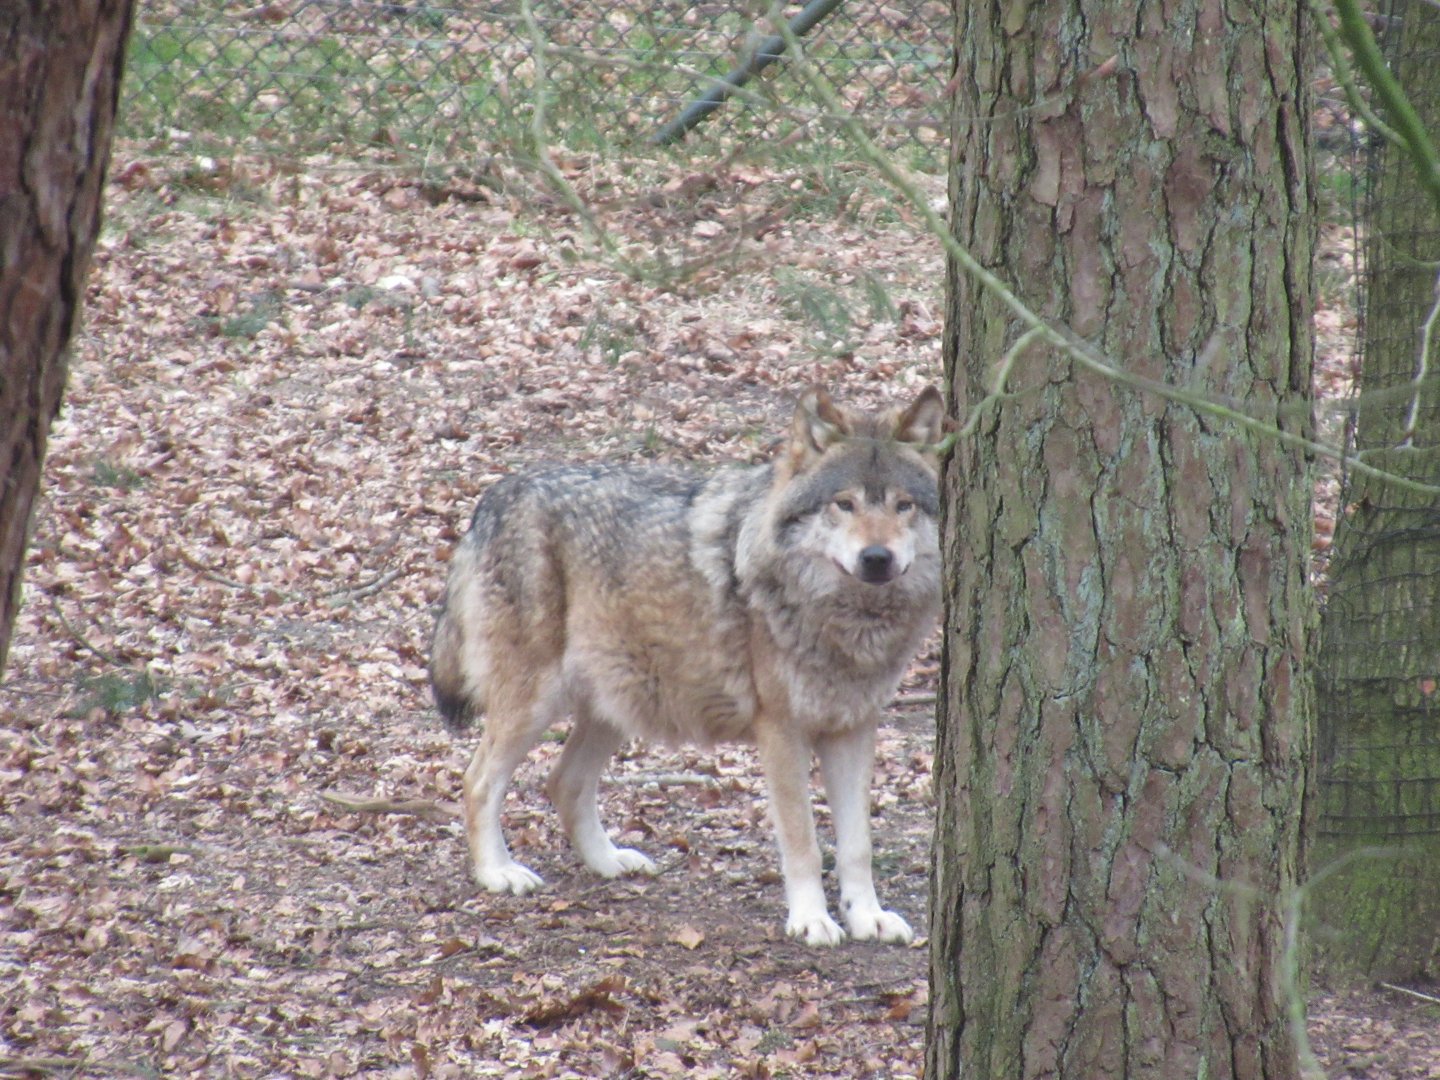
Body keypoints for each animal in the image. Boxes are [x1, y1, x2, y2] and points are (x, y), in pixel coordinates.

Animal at [429, 385, 945, 946]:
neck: (847, 622)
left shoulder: (853, 728)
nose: (876, 557)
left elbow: (857, 845)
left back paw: (609, 861)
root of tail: (495, 496)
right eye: (844, 505)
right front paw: (812, 919)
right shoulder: (781, 730)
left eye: (903, 506)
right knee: (477, 781)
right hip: (535, 704)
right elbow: (804, 841)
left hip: (619, 703)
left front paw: (867, 916)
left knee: (563, 782)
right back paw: (498, 872)